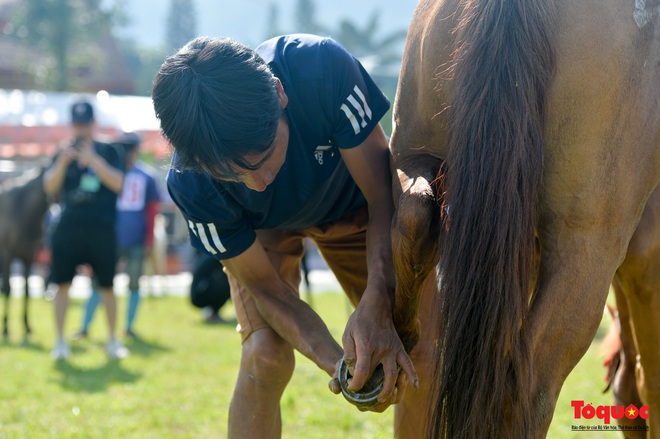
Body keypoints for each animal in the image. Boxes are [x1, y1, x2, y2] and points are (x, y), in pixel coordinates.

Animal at [0, 167, 51, 338]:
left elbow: (27, 290)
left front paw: (27, 326)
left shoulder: (29, 256)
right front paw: (6, 328)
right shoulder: (7, 255)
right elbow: (8, 288)